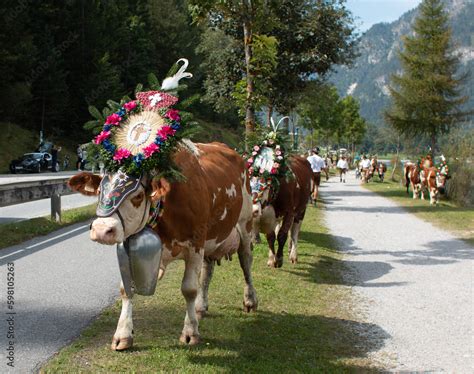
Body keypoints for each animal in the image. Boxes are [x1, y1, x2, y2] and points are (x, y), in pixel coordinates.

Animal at [68, 60, 258, 350]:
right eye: (100, 189)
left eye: (137, 196)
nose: (102, 230)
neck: (163, 213)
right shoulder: (129, 245)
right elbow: (126, 289)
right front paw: (123, 334)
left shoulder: (195, 242)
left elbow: (188, 288)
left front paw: (190, 332)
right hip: (213, 235)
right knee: (208, 271)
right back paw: (201, 307)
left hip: (245, 224)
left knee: (246, 261)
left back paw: (249, 299)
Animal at [244, 118, 314, 268]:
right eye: (247, 184)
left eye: (266, 186)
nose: (253, 210)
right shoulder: (267, 215)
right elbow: (271, 236)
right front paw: (272, 259)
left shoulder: (289, 212)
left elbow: (282, 235)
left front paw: (280, 259)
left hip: (301, 210)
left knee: (294, 232)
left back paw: (293, 254)